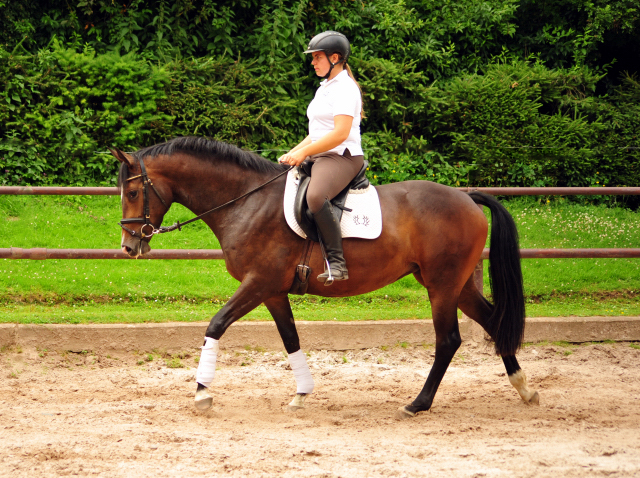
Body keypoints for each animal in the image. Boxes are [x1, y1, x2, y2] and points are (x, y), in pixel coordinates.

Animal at [111, 135, 540, 418]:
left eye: (131, 193)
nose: (129, 247)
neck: (247, 202)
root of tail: (467, 196)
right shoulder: (272, 291)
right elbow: (290, 338)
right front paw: (301, 394)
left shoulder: (258, 283)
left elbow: (216, 325)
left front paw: (202, 392)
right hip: (457, 285)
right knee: (493, 321)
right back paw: (524, 389)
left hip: (442, 286)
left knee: (448, 340)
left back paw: (418, 404)